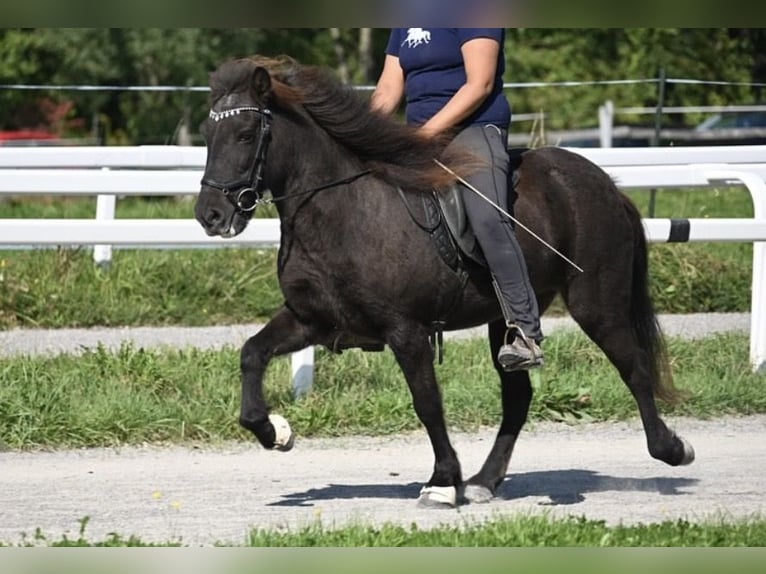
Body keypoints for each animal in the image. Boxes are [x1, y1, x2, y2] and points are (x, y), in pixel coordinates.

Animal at [195, 56, 695, 508]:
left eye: (245, 134)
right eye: (207, 136)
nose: (210, 216)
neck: (342, 209)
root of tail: (605, 183)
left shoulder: (406, 330)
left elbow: (428, 402)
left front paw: (440, 481)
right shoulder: (311, 320)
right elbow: (251, 354)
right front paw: (274, 431)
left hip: (597, 304)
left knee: (634, 367)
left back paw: (671, 449)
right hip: (503, 321)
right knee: (518, 396)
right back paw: (484, 482)